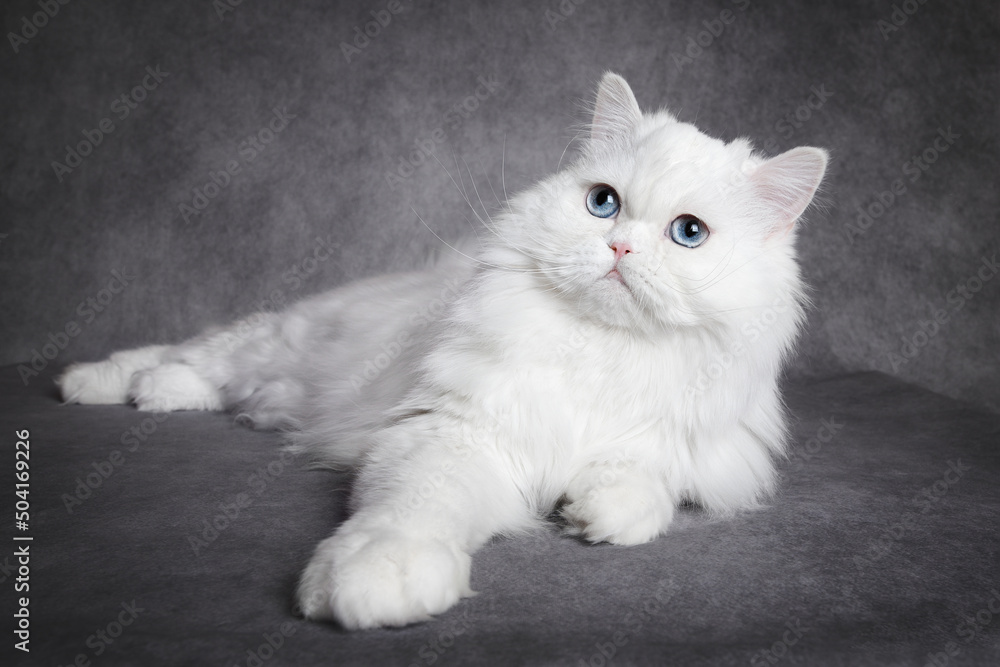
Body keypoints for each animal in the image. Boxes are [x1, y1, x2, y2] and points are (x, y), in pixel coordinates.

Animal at [60, 74, 828, 632]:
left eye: (688, 232)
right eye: (604, 203)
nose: (619, 248)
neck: (599, 347)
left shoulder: (678, 446)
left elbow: (639, 486)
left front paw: (592, 516)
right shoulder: (452, 433)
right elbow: (413, 512)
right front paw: (378, 579)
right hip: (274, 340)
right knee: (193, 353)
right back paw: (103, 383)